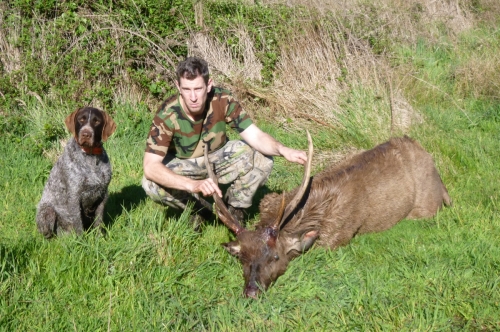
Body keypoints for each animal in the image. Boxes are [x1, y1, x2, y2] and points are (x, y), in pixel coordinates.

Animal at [36, 107, 116, 239]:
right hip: (47, 211)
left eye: (96, 121)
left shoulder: (102, 194)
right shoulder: (74, 196)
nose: (86, 134)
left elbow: (99, 221)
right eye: (81, 119)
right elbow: (78, 224)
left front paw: (99, 237)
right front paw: (81, 241)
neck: (90, 156)